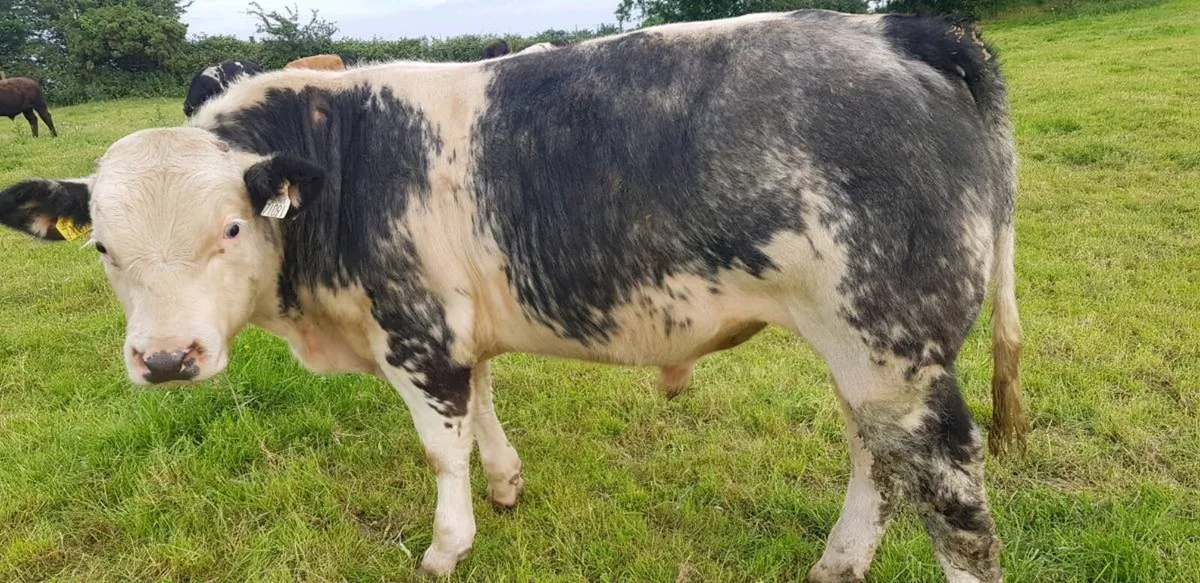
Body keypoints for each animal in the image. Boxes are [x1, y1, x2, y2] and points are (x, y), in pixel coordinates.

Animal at [0, 11, 1026, 582]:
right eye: (105, 247)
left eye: (230, 228)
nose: (167, 359)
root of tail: (896, 30)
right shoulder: (458, 326)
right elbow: (484, 409)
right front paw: (505, 482)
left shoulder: (414, 334)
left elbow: (438, 447)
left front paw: (446, 545)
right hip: (865, 349)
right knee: (876, 457)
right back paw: (838, 562)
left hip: (894, 347)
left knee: (955, 500)